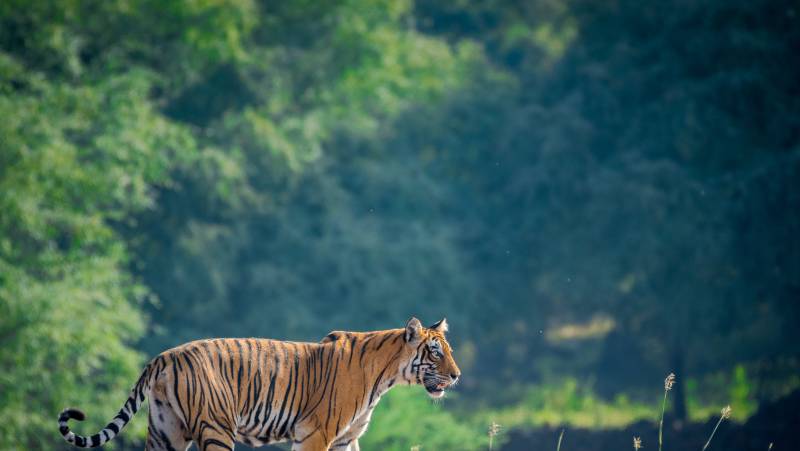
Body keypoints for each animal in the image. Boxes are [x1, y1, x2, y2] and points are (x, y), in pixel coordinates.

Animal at [57, 317, 460, 451]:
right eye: (435, 352)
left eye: (449, 351)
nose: (457, 375)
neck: (386, 376)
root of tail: (163, 357)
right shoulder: (316, 434)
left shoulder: (347, 439)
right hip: (216, 428)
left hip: (165, 433)